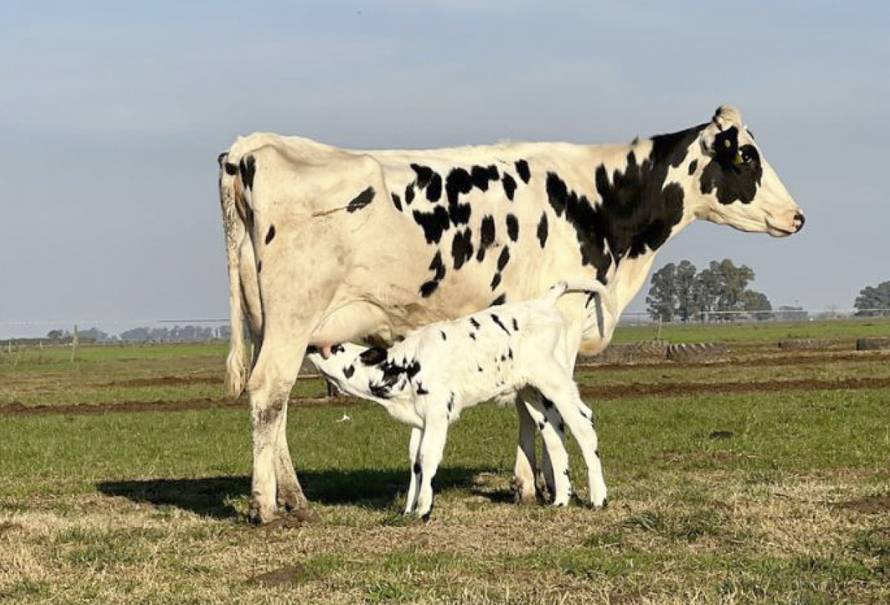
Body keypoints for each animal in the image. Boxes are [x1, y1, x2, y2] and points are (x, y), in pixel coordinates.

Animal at [306, 280, 612, 520]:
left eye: (338, 348)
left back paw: (598, 499)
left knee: (583, 424)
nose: (311, 344)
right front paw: (408, 509)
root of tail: (543, 303)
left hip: (555, 380)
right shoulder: (419, 419)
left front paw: (423, 510)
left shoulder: (438, 413)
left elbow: (428, 457)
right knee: (554, 433)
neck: (405, 364)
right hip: (532, 392)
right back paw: (561, 500)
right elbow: (415, 460)